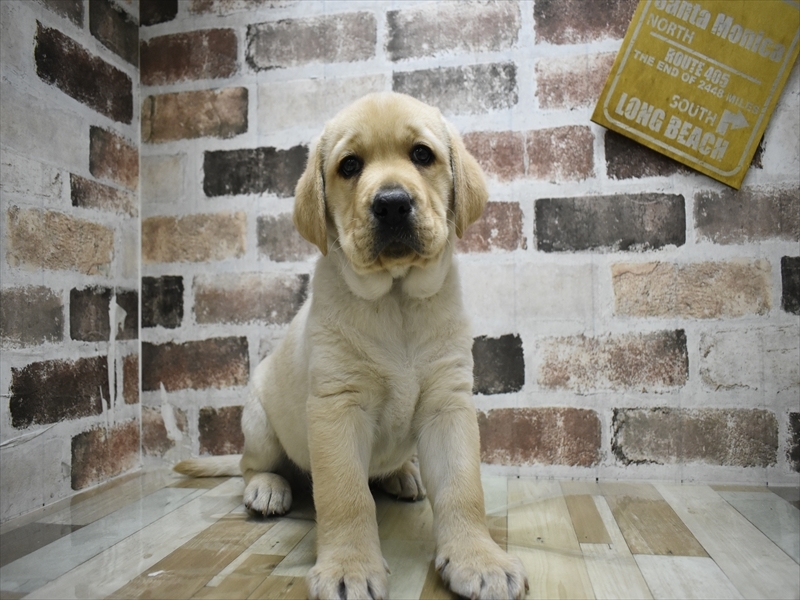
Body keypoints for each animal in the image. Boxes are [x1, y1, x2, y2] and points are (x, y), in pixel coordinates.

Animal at [174, 92, 528, 600]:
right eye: (350, 166)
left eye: (422, 155)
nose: (393, 204)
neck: (396, 301)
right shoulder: (336, 406)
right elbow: (346, 495)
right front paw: (349, 567)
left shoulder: (449, 403)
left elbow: (463, 488)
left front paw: (478, 559)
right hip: (259, 422)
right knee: (251, 465)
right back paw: (267, 488)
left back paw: (403, 475)